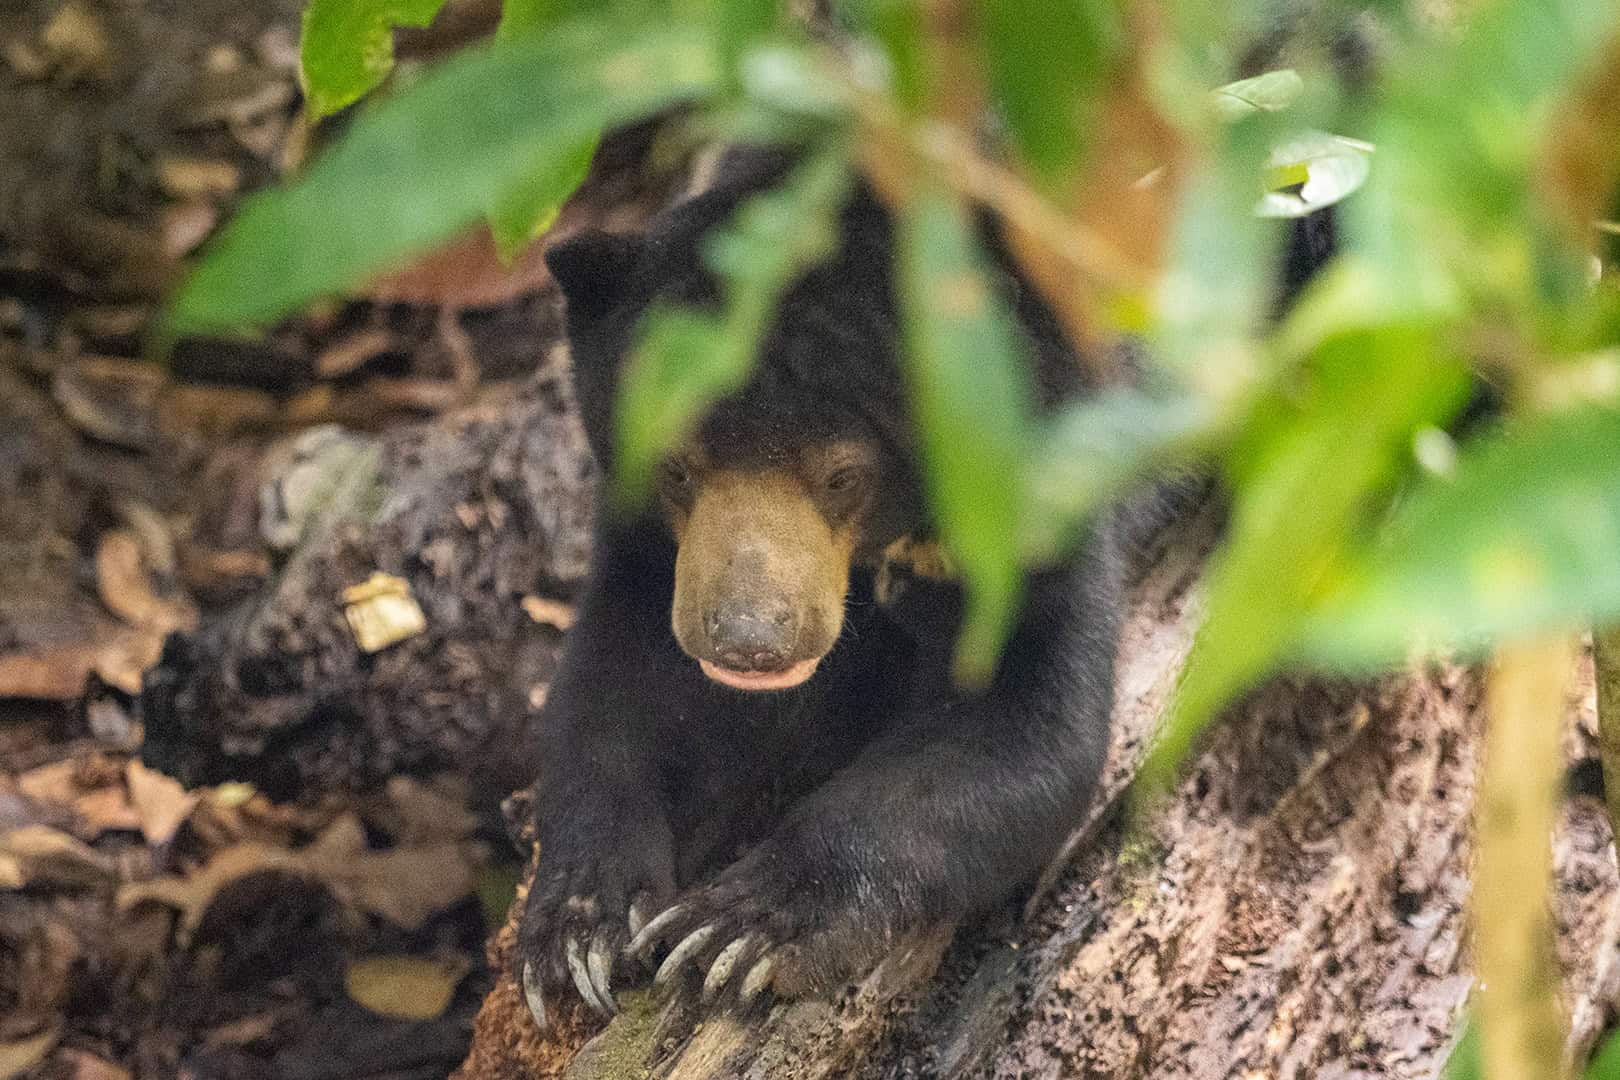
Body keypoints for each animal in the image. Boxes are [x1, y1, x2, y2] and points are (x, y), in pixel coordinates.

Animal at [515, 146, 1134, 1025]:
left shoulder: (1042, 467)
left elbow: (1028, 721)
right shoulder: (647, 542)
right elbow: (611, 681)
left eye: (843, 476)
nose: (748, 641)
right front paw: (580, 928)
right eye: (676, 466)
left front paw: (738, 929)